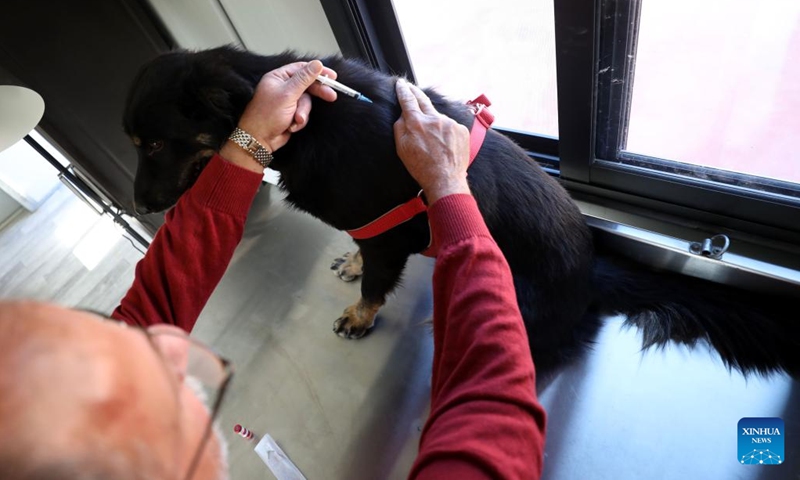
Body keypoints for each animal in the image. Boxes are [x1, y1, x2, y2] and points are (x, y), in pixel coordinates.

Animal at [122, 47, 796, 378]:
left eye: (153, 144)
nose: (138, 206)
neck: (313, 116)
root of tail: (589, 277)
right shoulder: (373, 230)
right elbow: (362, 255)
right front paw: (349, 264)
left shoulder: (390, 237)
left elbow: (376, 280)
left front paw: (361, 314)